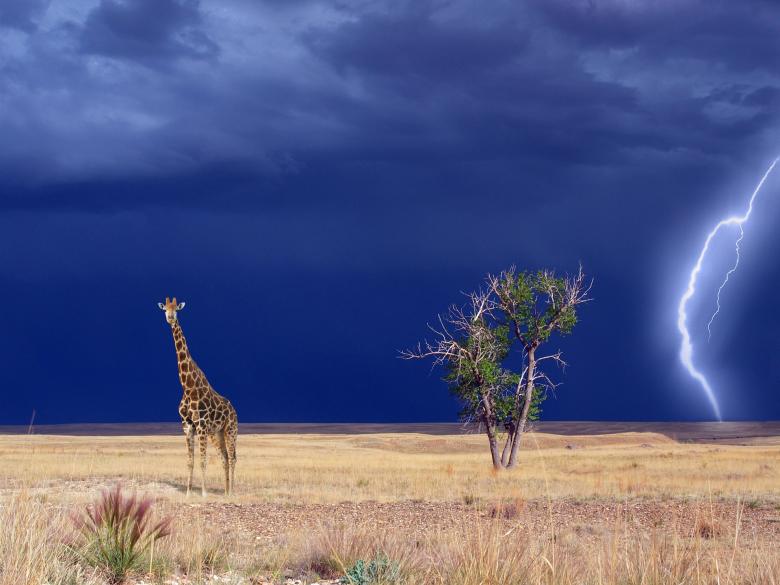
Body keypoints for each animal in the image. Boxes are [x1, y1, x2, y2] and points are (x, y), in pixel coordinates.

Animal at [158, 297, 238, 496]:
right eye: (165, 309)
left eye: (177, 309)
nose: (170, 318)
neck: (188, 387)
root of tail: (234, 410)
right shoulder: (187, 426)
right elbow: (190, 461)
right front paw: (188, 493)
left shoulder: (201, 425)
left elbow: (202, 460)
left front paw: (204, 493)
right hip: (217, 433)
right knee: (225, 457)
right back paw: (226, 492)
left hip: (230, 429)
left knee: (233, 457)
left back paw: (232, 491)